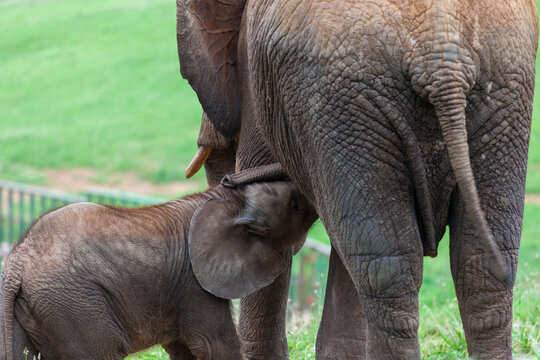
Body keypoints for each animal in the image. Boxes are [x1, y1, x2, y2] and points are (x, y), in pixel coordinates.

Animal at [0, 180, 314, 360]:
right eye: (294, 204)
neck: (224, 199)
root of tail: (17, 260)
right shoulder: (193, 283)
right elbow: (214, 344)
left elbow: (183, 348)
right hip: (72, 302)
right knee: (105, 351)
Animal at [176, 1, 536, 358]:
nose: (227, 181)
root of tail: (441, 57)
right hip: (499, 88)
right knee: (478, 269)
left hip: (343, 99)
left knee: (384, 269)